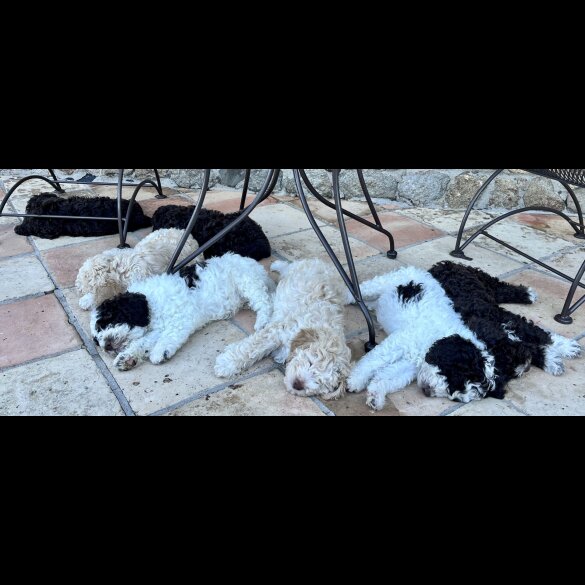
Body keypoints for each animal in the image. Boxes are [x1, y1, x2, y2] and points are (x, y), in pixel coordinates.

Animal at [90, 251, 274, 370]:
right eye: (97, 340)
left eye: (109, 319)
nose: (106, 346)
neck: (152, 303)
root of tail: (252, 262)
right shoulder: (155, 329)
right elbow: (142, 342)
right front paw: (127, 358)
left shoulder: (181, 317)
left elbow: (169, 335)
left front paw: (160, 351)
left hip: (247, 280)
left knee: (264, 301)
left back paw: (262, 321)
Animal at [214, 260, 352, 402]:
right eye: (310, 362)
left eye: (319, 382)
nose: (298, 384)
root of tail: (323, 263)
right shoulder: (280, 330)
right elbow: (251, 347)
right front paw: (225, 363)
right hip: (292, 272)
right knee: (285, 268)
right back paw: (276, 265)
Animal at [346, 266, 488, 410]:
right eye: (453, 377)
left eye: (456, 399)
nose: (428, 391)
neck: (436, 337)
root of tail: (420, 271)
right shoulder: (400, 342)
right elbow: (373, 361)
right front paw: (355, 380)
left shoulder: (412, 365)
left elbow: (388, 376)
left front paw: (376, 396)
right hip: (383, 283)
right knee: (363, 288)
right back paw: (347, 297)